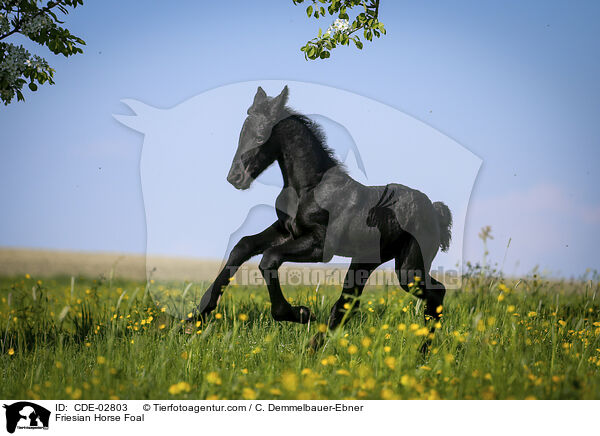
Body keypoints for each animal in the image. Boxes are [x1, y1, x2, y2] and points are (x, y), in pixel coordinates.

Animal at [195, 85, 452, 344]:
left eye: (260, 137)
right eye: (241, 134)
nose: (235, 177)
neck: (310, 188)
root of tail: (435, 209)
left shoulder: (320, 246)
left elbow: (269, 258)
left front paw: (299, 313)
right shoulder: (285, 230)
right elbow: (244, 245)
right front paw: (197, 315)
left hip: (409, 268)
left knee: (435, 293)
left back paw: (423, 350)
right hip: (367, 260)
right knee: (347, 305)